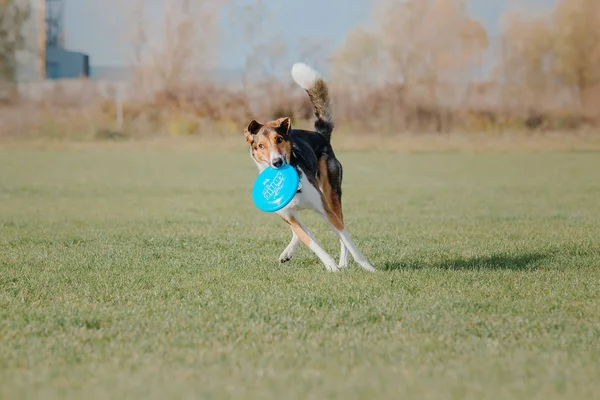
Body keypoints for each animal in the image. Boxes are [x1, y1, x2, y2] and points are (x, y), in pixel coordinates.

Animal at [244, 64, 376, 274]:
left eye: (278, 140)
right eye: (261, 146)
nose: (277, 162)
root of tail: (320, 134)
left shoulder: (325, 210)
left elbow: (347, 238)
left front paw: (366, 266)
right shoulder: (289, 216)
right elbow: (310, 240)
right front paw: (330, 265)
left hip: (331, 193)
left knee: (341, 224)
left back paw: (344, 261)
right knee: (303, 231)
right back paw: (288, 253)